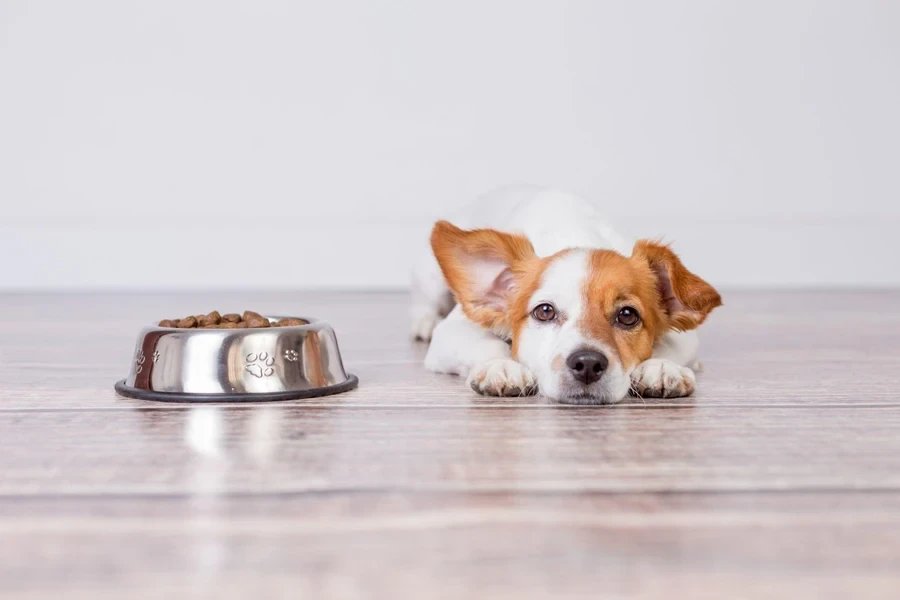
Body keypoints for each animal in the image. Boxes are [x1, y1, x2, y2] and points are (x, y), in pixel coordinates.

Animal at [412, 185, 720, 406]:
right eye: (544, 311)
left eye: (627, 315)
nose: (588, 364)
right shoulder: (453, 331)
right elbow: (488, 344)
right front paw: (502, 366)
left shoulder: (686, 337)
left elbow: (668, 346)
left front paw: (661, 367)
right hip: (432, 282)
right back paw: (423, 323)